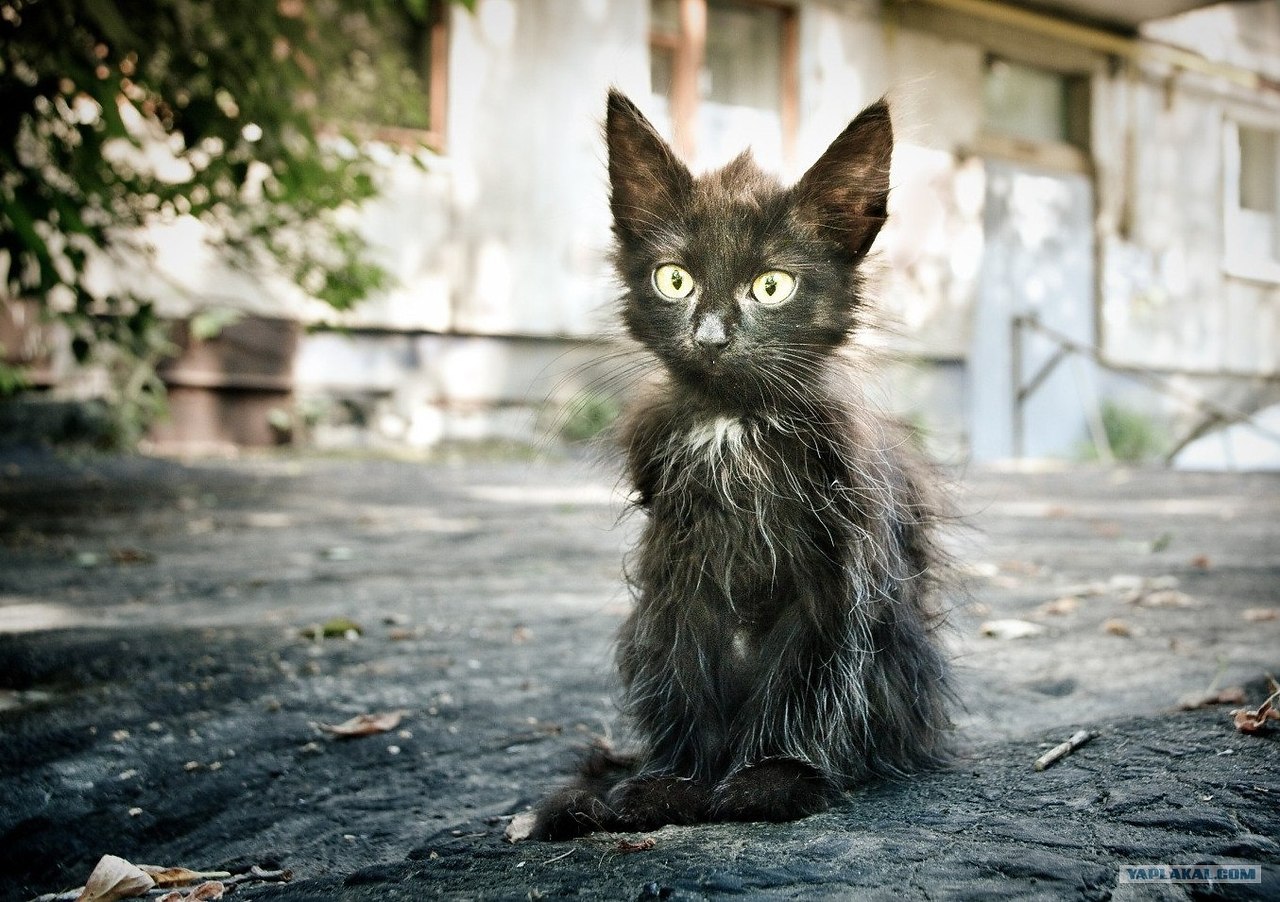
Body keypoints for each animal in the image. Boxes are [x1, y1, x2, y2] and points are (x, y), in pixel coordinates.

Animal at [529, 91, 952, 839]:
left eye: (772, 286)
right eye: (674, 279)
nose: (710, 336)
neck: (732, 426)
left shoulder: (833, 582)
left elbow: (805, 683)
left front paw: (771, 776)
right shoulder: (677, 579)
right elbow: (683, 678)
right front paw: (668, 784)